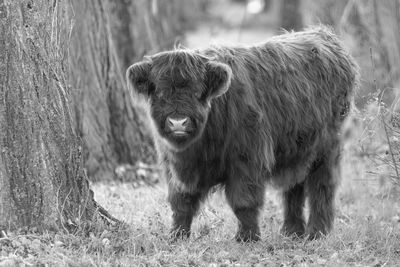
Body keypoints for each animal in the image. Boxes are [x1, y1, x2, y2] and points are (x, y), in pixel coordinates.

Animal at [126, 26, 358, 242]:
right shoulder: (171, 164)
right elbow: (180, 202)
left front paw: (247, 237)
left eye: (197, 92)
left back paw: (317, 232)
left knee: (322, 186)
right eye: (160, 92)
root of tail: (323, 35)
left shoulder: (247, 159)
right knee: (294, 186)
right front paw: (177, 236)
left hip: (328, 146)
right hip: (297, 148)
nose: (178, 122)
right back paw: (291, 232)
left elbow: (243, 201)